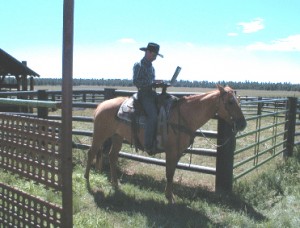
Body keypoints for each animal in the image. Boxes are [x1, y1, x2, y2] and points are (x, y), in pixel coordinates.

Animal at [84, 85, 246, 203]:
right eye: (230, 102)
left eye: (238, 101)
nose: (243, 124)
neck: (185, 116)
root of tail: (100, 105)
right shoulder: (171, 151)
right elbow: (168, 173)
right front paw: (169, 197)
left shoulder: (178, 152)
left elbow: (172, 172)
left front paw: (170, 194)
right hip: (100, 134)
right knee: (91, 152)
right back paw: (86, 179)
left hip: (117, 136)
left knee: (112, 156)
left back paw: (115, 183)